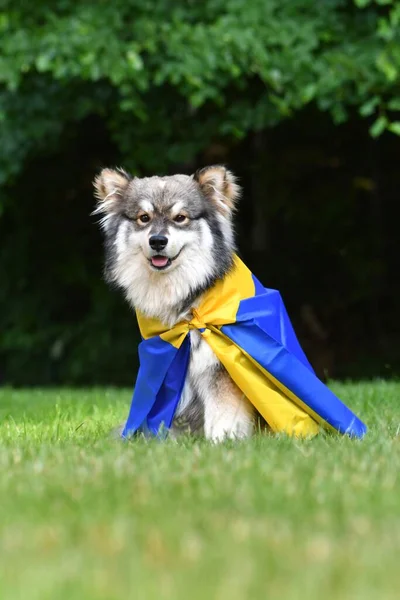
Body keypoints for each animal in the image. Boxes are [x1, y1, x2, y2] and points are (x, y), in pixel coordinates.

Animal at [93, 164, 255, 440]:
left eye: (180, 218)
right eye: (143, 218)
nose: (157, 241)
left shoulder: (220, 369)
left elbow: (222, 416)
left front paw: (222, 442)